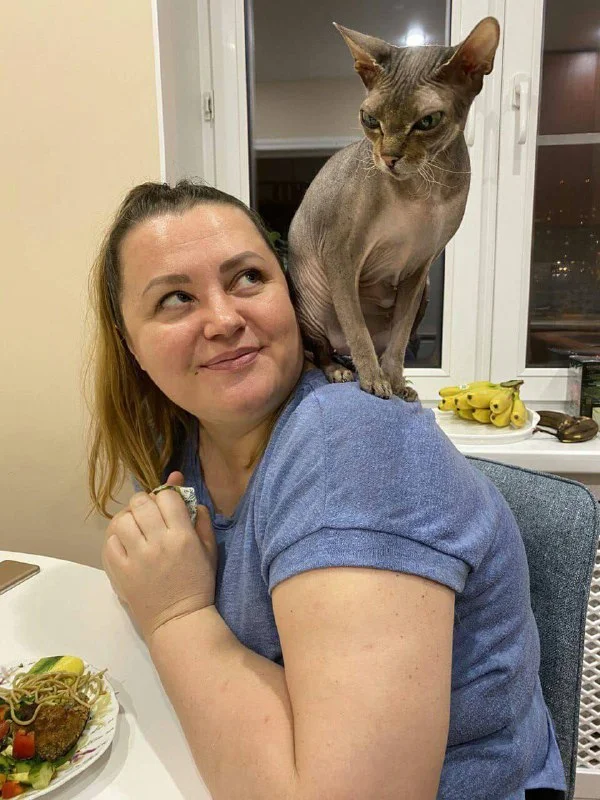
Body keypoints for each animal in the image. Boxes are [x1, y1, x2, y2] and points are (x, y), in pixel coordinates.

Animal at [286, 17, 500, 400]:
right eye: (370, 119)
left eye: (427, 121)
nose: (389, 158)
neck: (424, 191)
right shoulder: (341, 256)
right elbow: (357, 328)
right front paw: (374, 380)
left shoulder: (419, 266)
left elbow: (399, 342)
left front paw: (395, 381)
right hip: (312, 303)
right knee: (325, 348)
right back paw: (340, 370)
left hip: (425, 291)